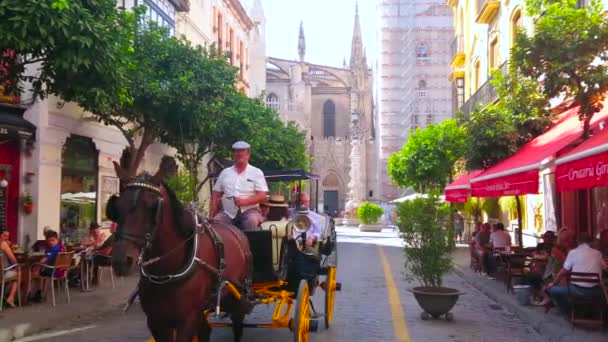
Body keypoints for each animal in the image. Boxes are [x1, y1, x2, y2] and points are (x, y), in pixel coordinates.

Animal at [109, 161, 252, 342]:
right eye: (117, 206)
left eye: (152, 206)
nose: (121, 260)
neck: (165, 271)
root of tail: (237, 230)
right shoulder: (156, 321)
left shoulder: (187, 319)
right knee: (206, 331)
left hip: (237, 294)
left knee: (237, 324)